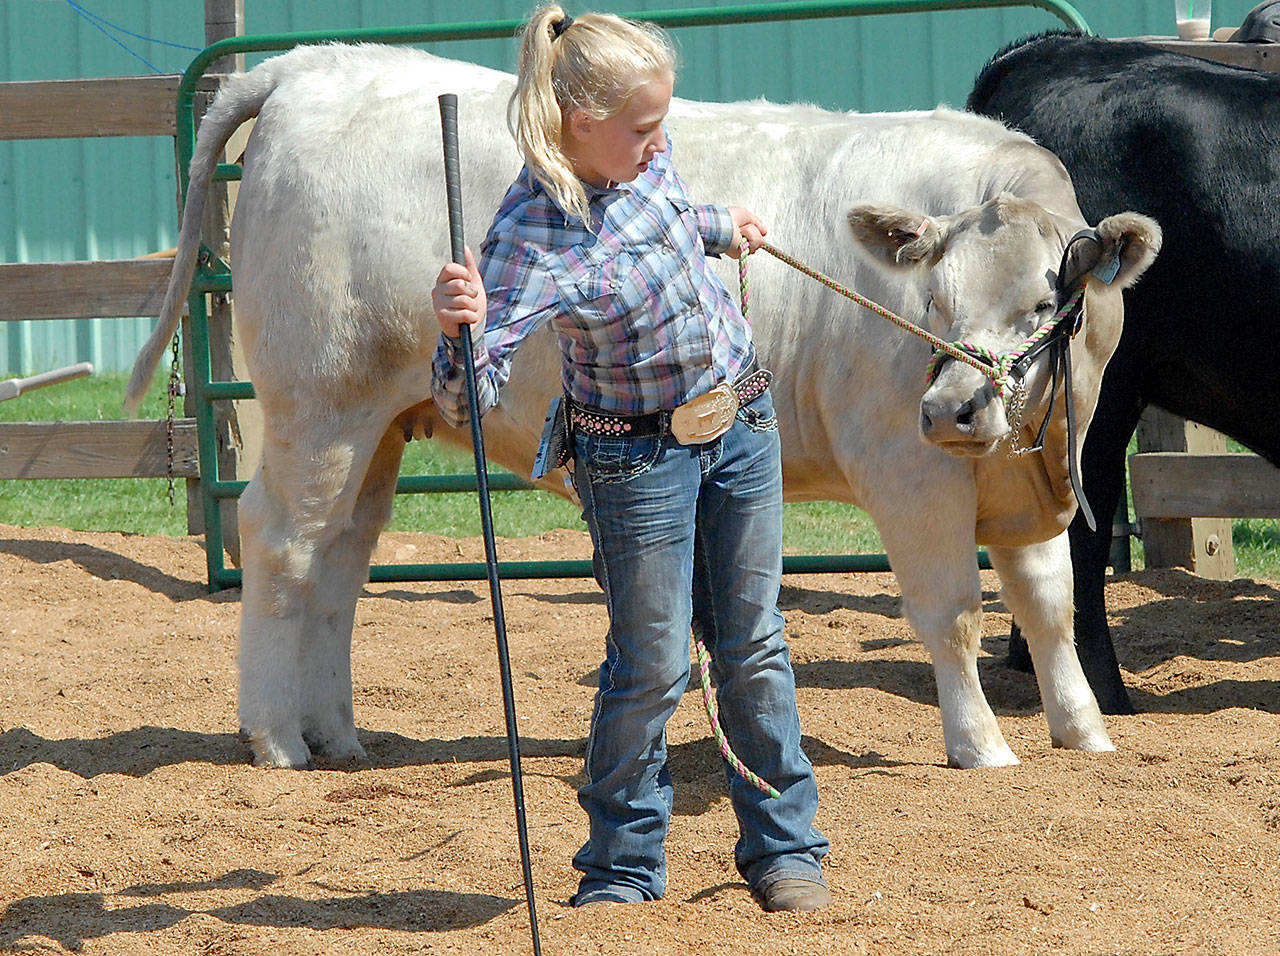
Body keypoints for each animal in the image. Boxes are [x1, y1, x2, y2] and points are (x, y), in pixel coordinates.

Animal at [126, 43, 1159, 770]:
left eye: (1044, 303)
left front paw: (1083, 728)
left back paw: (335, 732)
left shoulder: (1028, 484)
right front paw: (982, 743)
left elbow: (1051, 607)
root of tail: (316, 65)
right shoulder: (910, 475)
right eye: (933, 301)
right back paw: (274, 737)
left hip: (377, 424)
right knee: (280, 542)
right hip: (318, 404)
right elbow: (953, 612)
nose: (951, 410)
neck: (1032, 448)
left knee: (340, 557)